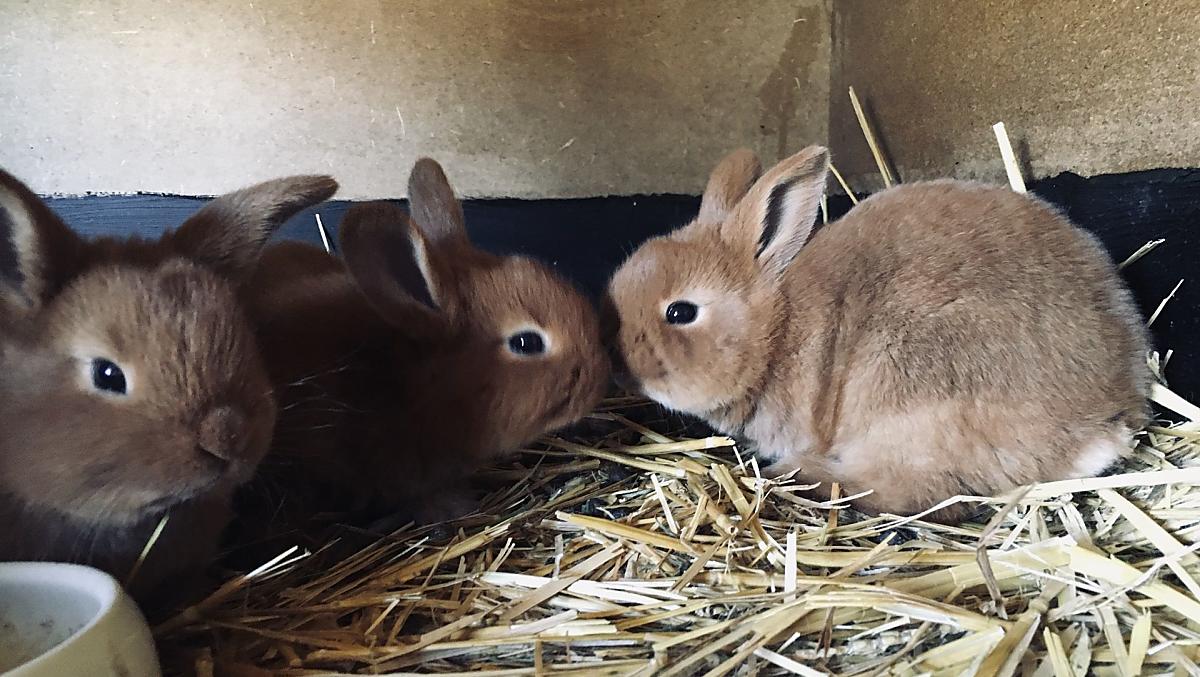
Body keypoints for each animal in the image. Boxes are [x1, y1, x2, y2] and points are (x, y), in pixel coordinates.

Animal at [607, 145, 1150, 523]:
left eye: (680, 312)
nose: (619, 366)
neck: (777, 328)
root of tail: (1103, 423)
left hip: (908, 398)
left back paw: (798, 476)